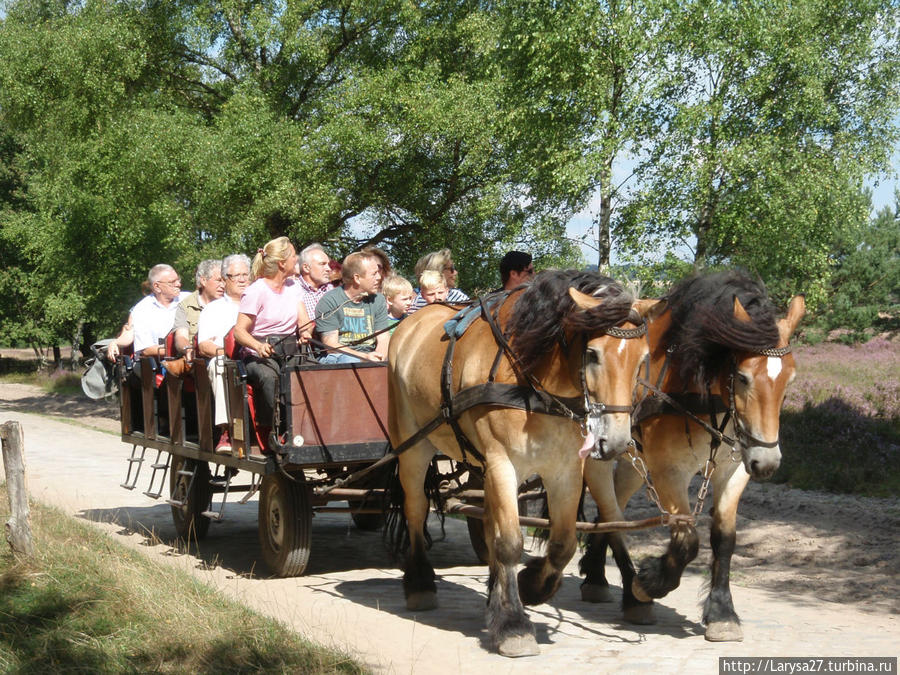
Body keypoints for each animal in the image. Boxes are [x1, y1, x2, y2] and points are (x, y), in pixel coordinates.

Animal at [390, 272, 652, 656]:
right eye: (592, 354)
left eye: (643, 359)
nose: (617, 441)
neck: (533, 381)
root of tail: (409, 324)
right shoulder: (502, 462)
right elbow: (510, 543)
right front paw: (514, 624)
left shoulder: (565, 469)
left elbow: (562, 544)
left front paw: (529, 586)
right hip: (413, 445)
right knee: (415, 507)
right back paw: (420, 582)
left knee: (486, 522)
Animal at [584, 270, 808, 640]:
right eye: (743, 377)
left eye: (789, 379)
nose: (767, 463)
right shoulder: (669, 471)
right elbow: (686, 540)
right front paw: (649, 582)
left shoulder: (735, 470)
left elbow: (725, 538)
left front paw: (722, 612)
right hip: (597, 456)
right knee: (606, 508)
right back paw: (621, 590)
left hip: (633, 461)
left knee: (611, 509)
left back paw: (596, 575)